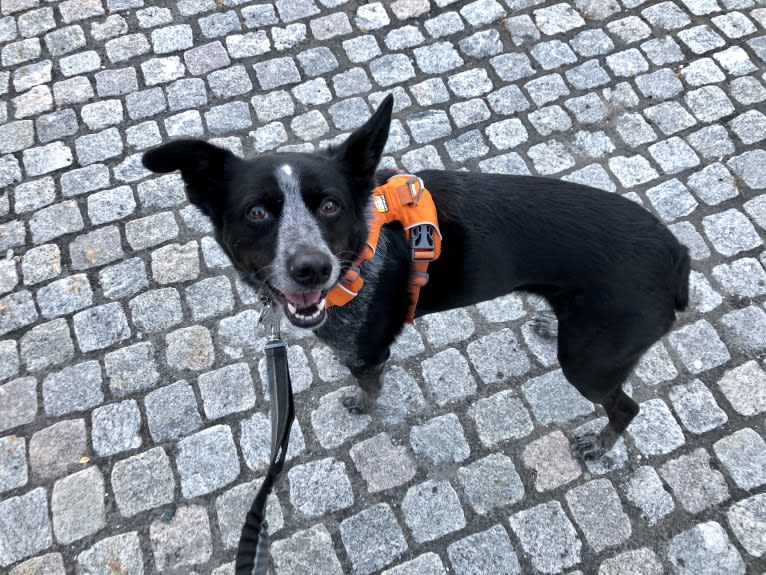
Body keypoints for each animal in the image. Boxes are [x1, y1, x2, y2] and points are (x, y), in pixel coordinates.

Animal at [141, 97, 692, 462]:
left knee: (626, 408)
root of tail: (677, 255)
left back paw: (600, 444)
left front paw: (363, 404)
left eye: (330, 205)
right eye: (256, 212)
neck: (361, 248)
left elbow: (369, 386)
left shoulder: (366, 352)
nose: (312, 268)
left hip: (588, 363)